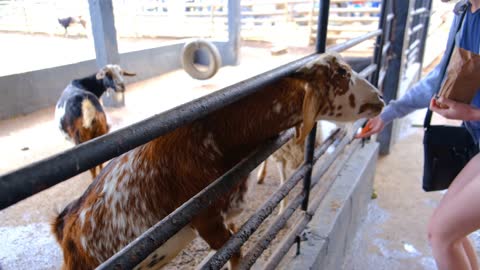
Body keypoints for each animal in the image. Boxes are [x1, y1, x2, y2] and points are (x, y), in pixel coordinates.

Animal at [51, 52, 382, 270]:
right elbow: (236, 254)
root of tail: (63, 225)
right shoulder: (207, 221)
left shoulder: (229, 215)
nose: (379, 98)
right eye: (341, 72)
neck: (216, 132)